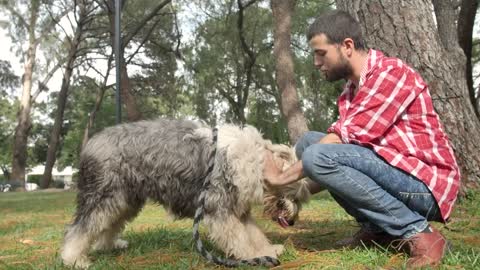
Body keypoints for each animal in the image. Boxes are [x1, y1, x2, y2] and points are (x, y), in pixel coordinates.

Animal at [60, 118, 310, 268]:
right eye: (296, 196)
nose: (292, 221)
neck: (254, 160)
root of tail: (92, 142)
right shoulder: (219, 209)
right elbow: (239, 237)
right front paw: (253, 256)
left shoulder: (238, 209)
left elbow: (254, 233)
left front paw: (268, 250)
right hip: (102, 196)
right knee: (80, 229)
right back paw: (73, 259)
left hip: (124, 200)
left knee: (107, 225)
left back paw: (109, 245)